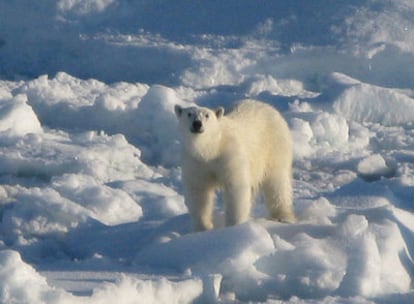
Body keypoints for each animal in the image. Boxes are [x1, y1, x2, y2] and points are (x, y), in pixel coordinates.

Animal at [175, 100, 294, 230]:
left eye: (207, 115)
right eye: (189, 114)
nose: (197, 124)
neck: (212, 149)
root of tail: (269, 107)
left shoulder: (230, 155)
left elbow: (236, 188)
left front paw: (234, 226)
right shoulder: (195, 162)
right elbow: (198, 193)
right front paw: (203, 228)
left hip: (274, 146)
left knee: (276, 181)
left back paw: (283, 217)